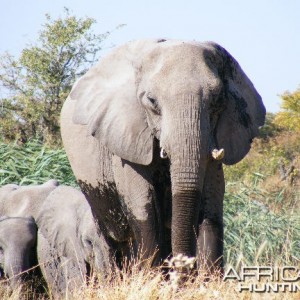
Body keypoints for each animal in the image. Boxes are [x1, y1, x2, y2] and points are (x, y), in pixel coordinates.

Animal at [60, 38, 264, 270]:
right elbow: (144, 212)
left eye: (217, 100)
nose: (184, 266)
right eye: (151, 101)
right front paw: (152, 276)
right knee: (111, 238)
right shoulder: (126, 143)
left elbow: (211, 208)